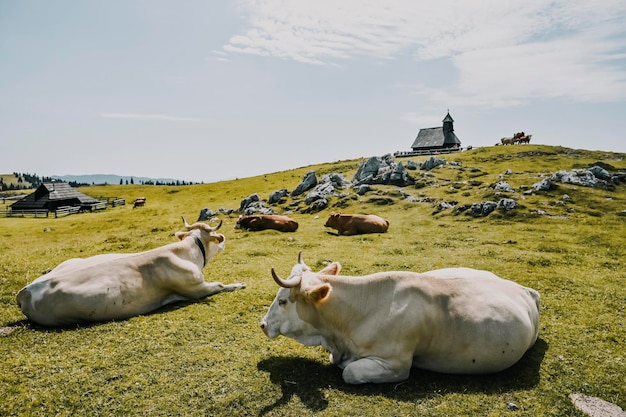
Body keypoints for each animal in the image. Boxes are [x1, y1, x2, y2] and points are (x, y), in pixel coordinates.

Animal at [14, 216, 244, 326]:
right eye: (217, 238)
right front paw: (239, 284)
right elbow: (220, 285)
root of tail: (25, 291)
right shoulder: (196, 288)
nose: (224, 242)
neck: (187, 252)